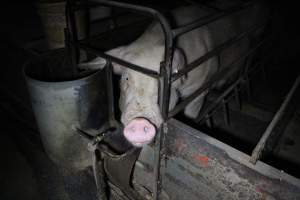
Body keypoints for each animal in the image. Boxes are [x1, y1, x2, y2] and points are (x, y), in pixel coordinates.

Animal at [79, 1, 268, 147]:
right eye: (126, 78)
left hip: (256, 40)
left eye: (161, 84)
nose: (139, 122)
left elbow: (192, 113)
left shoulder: (201, 87)